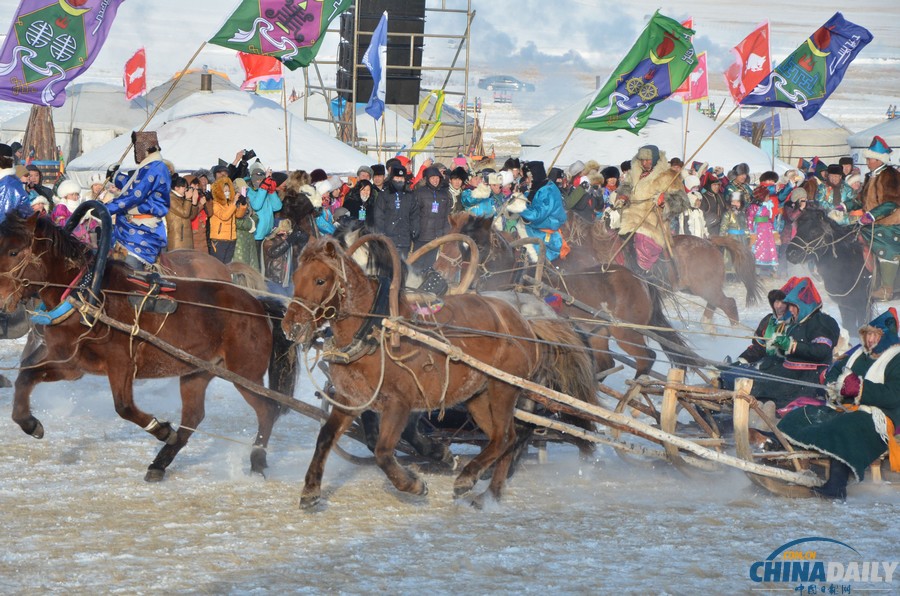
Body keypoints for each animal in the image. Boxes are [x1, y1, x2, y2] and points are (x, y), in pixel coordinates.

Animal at [0, 212, 296, 482]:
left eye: (14, 251)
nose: (2, 299)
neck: (87, 295)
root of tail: (257, 305)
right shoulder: (71, 365)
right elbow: (26, 378)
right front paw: (29, 423)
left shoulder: (121, 364)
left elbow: (124, 407)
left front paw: (161, 429)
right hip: (197, 373)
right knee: (193, 417)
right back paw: (160, 463)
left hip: (245, 374)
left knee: (267, 411)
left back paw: (257, 460)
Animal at [278, 235, 596, 506]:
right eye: (295, 278)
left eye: (320, 280)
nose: (291, 327)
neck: (373, 329)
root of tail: (526, 322)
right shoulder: (351, 400)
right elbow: (325, 438)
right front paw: (310, 490)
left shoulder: (400, 403)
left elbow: (383, 451)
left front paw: (414, 483)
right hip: (478, 396)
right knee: (504, 438)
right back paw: (490, 493)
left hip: (504, 388)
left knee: (507, 437)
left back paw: (469, 478)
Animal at [432, 211, 692, 378]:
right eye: (463, 249)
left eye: (480, 247)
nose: (465, 280)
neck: (516, 279)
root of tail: (640, 280)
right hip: (599, 332)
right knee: (605, 363)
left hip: (626, 332)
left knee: (647, 358)